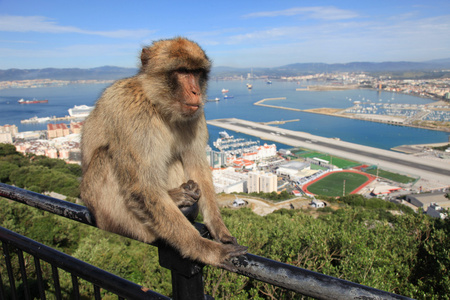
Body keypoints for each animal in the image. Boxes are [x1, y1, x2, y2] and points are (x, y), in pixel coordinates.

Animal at [81, 36, 246, 270]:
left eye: (196, 72)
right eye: (182, 71)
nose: (196, 92)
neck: (158, 105)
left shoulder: (196, 116)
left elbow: (197, 166)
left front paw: (219, 229)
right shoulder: (132, 111)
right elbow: (142, 187)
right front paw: (206, 249)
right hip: (112, 217)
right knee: (106, 156)